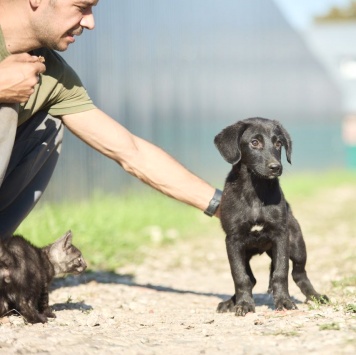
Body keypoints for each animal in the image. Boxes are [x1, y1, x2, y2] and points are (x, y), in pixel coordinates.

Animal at [214, 117, 328, 318]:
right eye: (254, 142)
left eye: (278, 143)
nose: (276, 167)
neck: (255, 190)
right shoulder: (233, 240)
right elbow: (240, 276)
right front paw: (243, 304)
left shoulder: (280, 235)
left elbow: (280, 272)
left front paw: (284, 301)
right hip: (245, 253)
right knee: (251, 278)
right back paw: (231, 302)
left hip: (297, 244)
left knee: (299, 273)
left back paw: (315, 296)